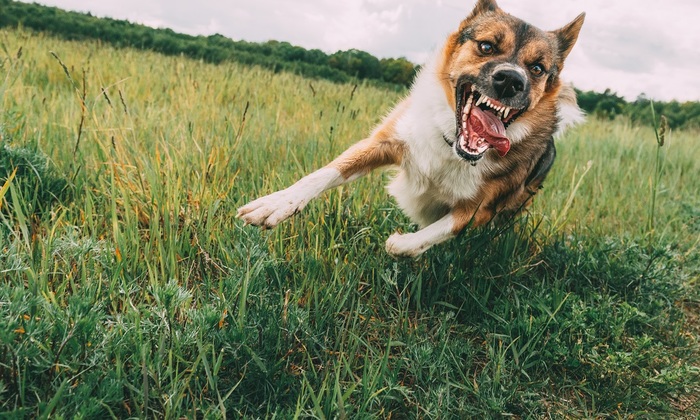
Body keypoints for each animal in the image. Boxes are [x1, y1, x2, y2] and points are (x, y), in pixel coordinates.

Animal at [238, 0, 584, 258]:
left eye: (537, 68)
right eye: (486, 46)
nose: (511, 80)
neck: (452, 146)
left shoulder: (480, 210)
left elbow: (425, 237)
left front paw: (401, 241)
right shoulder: (385, 141)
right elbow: (325, 172)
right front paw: (275, 204)